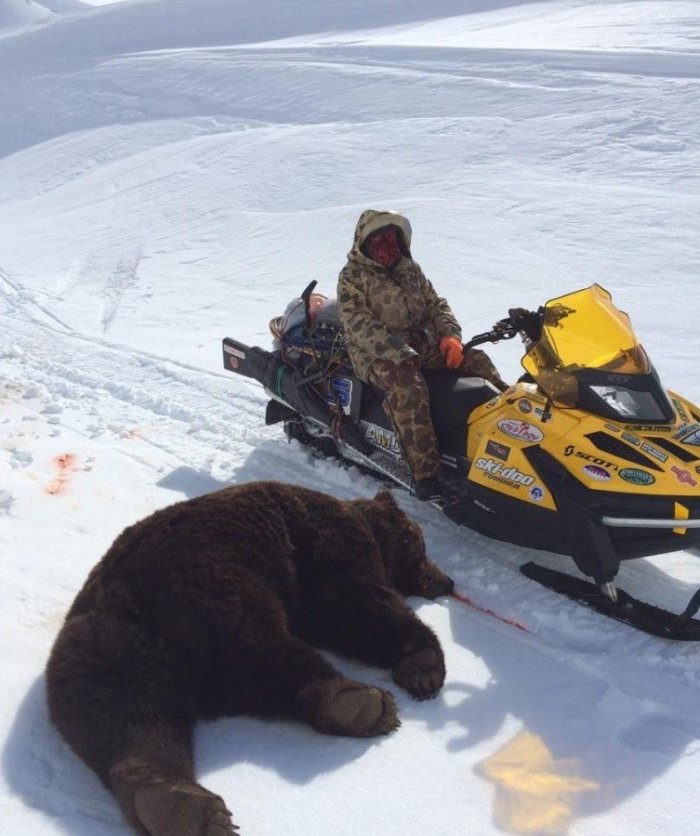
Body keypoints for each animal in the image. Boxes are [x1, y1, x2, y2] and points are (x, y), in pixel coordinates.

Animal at [47, 480, 454, 836]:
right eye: (422, 548)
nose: (447, 581)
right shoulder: (330, 544)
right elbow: (360, 604)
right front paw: (423, 667)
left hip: (102, 655)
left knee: (129, 718)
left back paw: (178, 806)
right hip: (217, 588)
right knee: (262, 648)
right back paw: (362, 704)